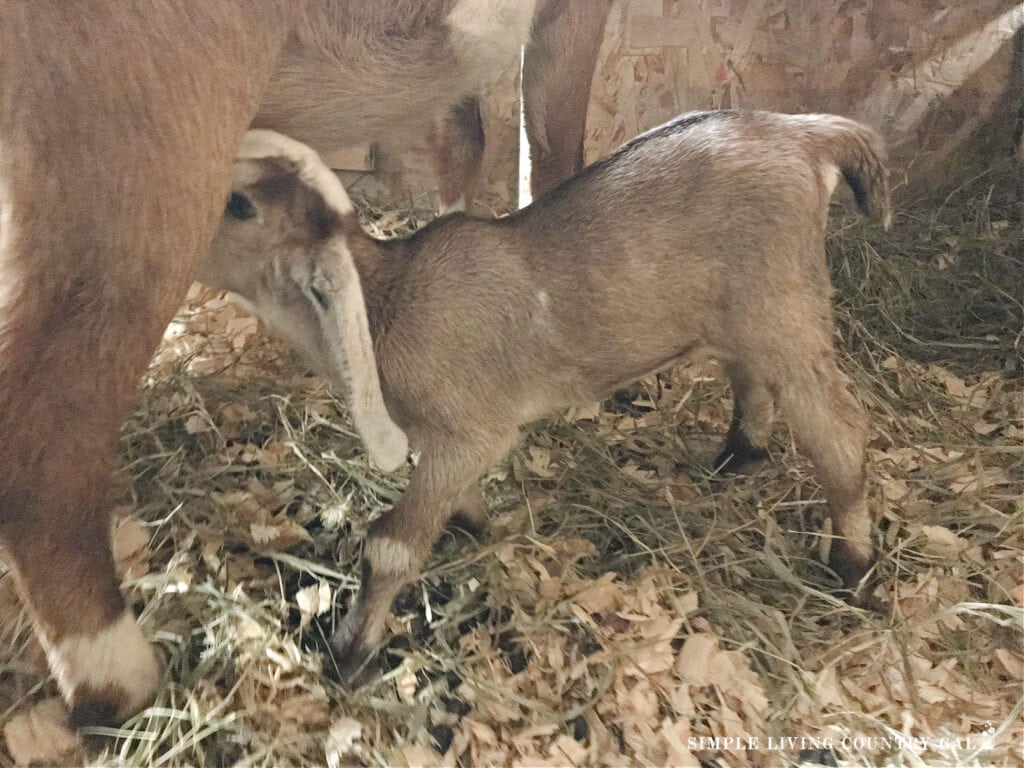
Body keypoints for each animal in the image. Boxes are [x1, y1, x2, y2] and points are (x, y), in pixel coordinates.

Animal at [202, 110, 892, 684]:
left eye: (239, 205)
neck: (391, 304)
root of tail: (806, 134)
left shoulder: (471, 430)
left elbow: (392, 544)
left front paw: (348, 653)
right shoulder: (448, 443)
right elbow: (460, 504)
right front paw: (481, 528)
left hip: (785, 304)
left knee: (839, 429)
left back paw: (852, 567)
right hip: (742, 312)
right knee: (750, 377)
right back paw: (739, 453)